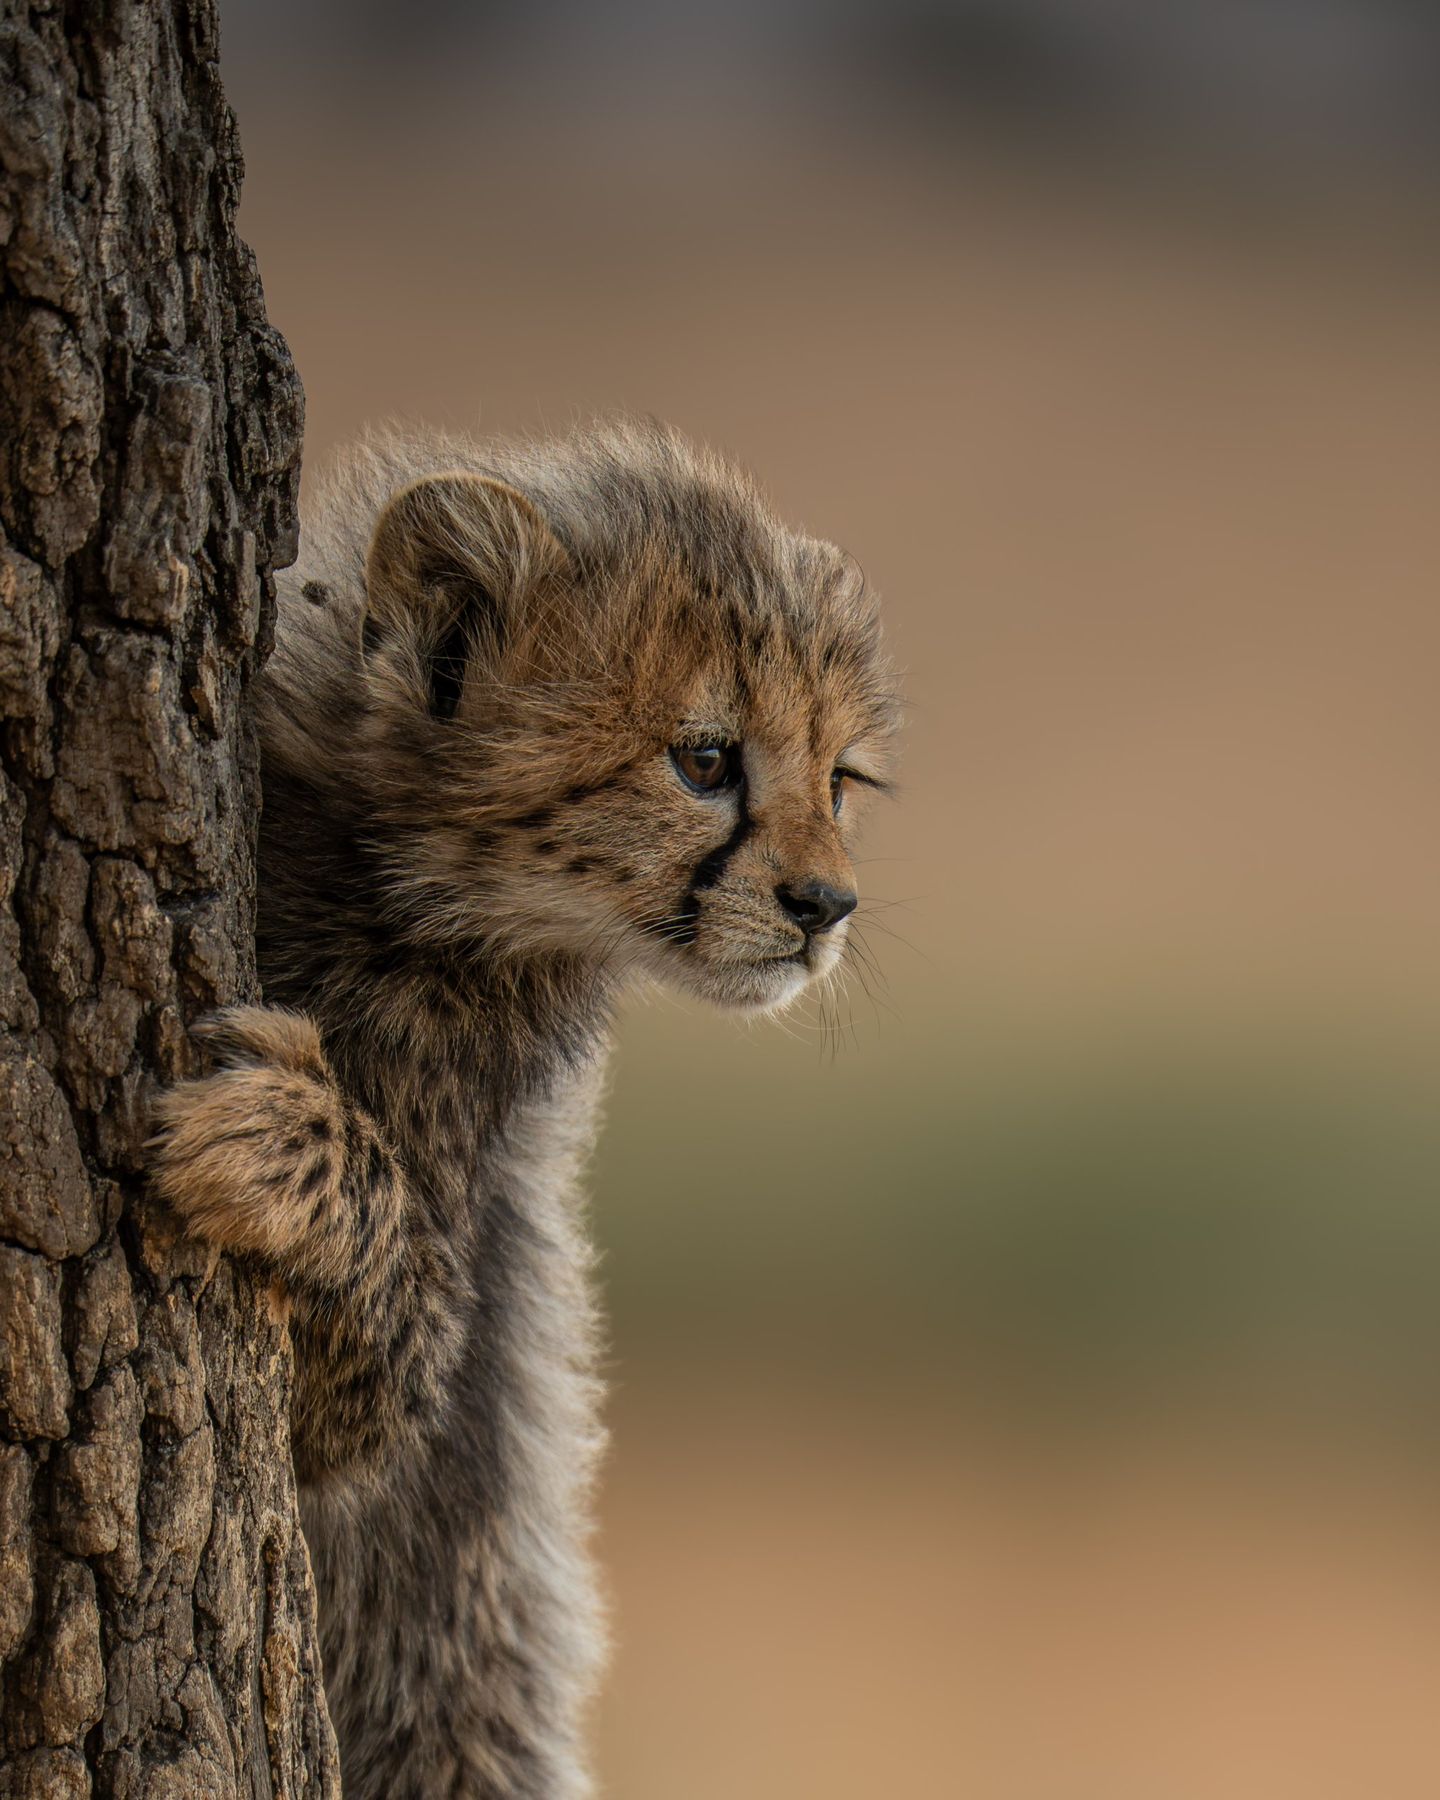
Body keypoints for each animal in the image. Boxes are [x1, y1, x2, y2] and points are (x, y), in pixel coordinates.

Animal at [149, 418, 897, 1798]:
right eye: (705, 759)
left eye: (839, 779)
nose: (827, 906)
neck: (392, 889)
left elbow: (380, 1367)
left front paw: (271, 1141)